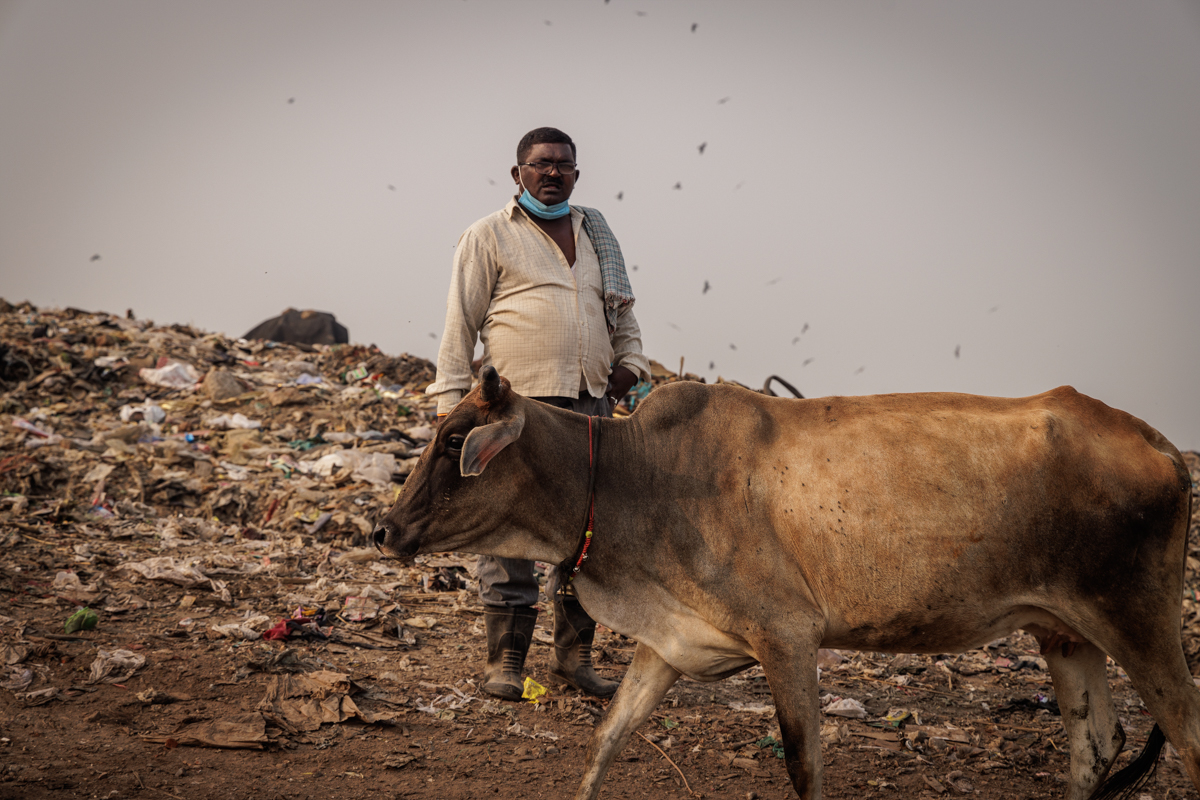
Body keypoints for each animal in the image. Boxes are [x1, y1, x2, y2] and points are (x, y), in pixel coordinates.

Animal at [374, 367, 1197, 800]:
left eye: (455, 441)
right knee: (1095, 742)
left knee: (1184, 730)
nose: (384, 531)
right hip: (1062, 629)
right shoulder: (672, 640)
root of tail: (1158, 441)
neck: (633, 478)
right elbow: (607, 739)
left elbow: (804, 764)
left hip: (1137, 616)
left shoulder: (788, 637)